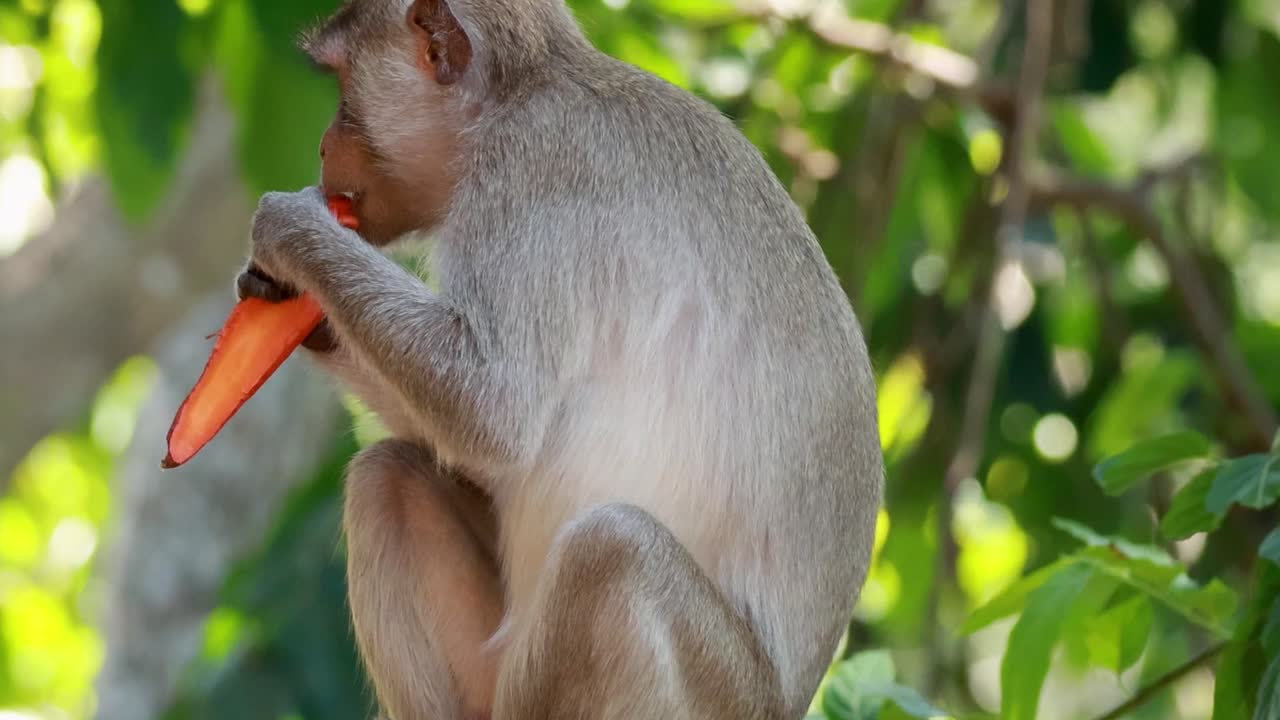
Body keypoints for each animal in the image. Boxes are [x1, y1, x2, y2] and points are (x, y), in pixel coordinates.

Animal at [235, 0, 884, 718]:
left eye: (344, 86)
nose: (324, 146)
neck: (519, 95)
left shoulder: (527, 176)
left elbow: (492, 411)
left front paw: (293, 232)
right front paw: (293, 303)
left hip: (712, 694)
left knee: (612, 550)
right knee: (389, 474)